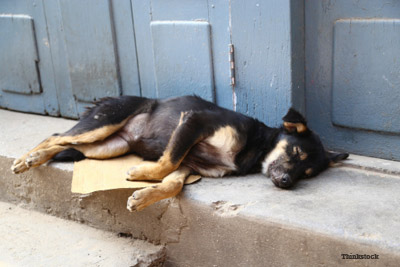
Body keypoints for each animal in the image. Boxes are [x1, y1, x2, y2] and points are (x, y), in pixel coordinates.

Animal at [9, 96, 346, 211]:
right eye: (295, 151)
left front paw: (143, 197)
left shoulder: (192, 164)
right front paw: (140, 174)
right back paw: (25, 159)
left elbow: (172, 183)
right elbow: (165, 162)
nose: (287, 182)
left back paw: (36, 158)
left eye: (307, 174)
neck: (256, 146)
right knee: (56, 136)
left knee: (61, 144)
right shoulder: (192, 123)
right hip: (102, 125)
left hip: (108, 147)